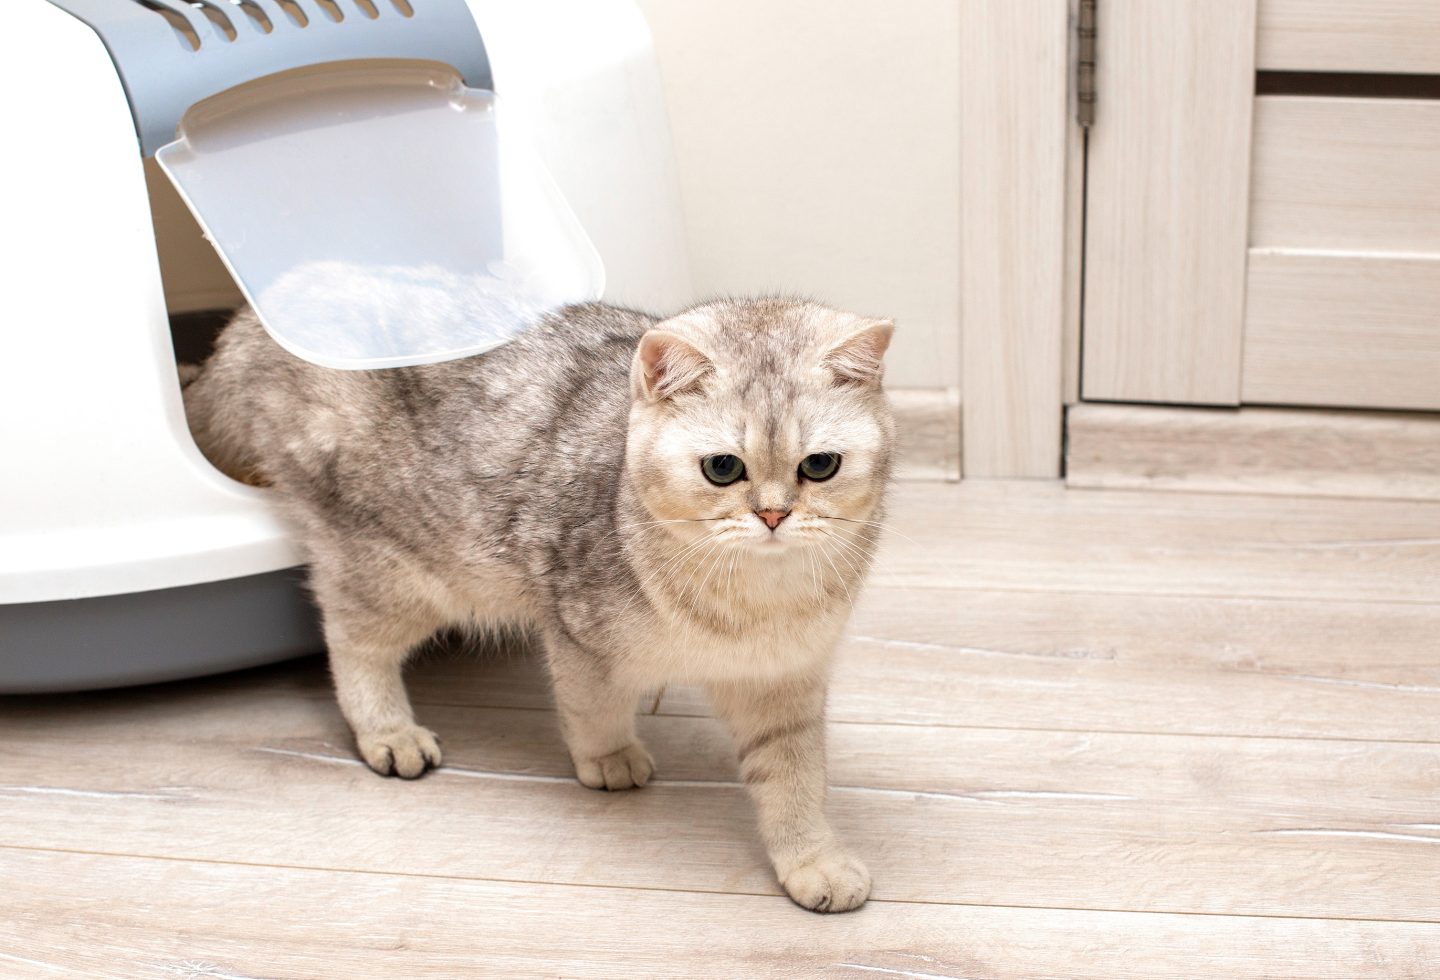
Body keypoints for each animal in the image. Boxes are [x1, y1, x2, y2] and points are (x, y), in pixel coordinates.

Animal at [185, 296, 892, 909]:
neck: (753, 603)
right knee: (351, 640)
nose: (774, 514)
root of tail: (247, 328)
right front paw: (608, 759)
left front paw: (813, 862)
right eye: (722, 468)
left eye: (820, 466)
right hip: (396, 566)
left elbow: (795, 782)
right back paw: (389, 732)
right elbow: (592, 708)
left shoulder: (783, 686)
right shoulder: (577, 636)